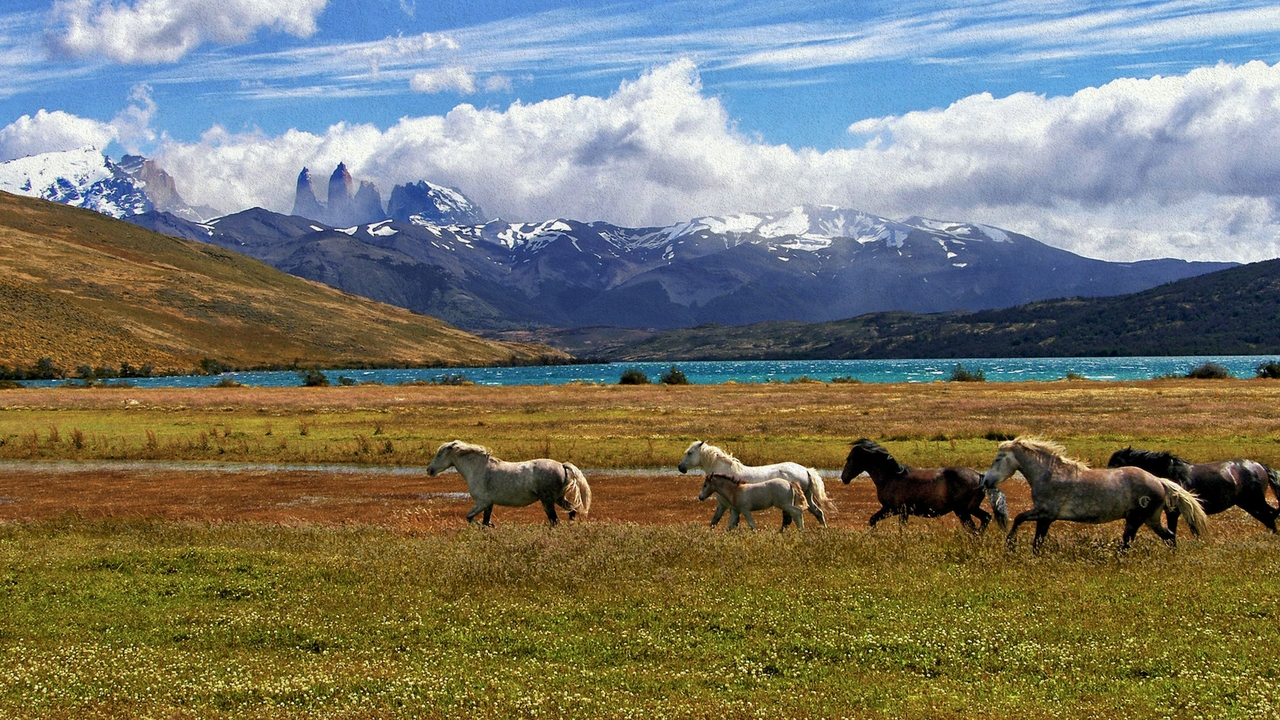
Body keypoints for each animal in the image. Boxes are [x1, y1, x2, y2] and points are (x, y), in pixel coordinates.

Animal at [426, 440, 592, 527]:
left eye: (439, 454)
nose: (429, 470)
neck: (479, 469)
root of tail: (562, 465)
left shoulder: (482, 502)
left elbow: (470, 518)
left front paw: (492, 526)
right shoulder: (488, 504)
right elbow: (484, 521)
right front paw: (490, 527)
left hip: (547, 500)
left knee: (555, 520)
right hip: (558, 498)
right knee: (572, 510)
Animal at [678, 440, 834, 527]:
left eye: (690, 453)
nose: (680, 467)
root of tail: (806, 470)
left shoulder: (725, 504)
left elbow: (723, 521)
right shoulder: (725, 505)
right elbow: (716, 521)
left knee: (791, 518)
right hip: (806, 498)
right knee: (818, 512)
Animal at [841, 438, 1008, 534]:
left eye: (850, 459)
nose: (844, 478)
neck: (891, 476)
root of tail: (980, 477)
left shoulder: (896, 510)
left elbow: (897, 528)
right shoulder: (893, 510)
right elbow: (873, 520)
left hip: (963, 512)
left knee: (974, 528)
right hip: (971, 509)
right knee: (986, 518)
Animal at [980, 436, 1208, 550]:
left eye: (999, 458)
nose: (986, 481)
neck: (1050, 474)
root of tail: (1159, 481)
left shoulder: (1046, 514)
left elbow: (1021, 520)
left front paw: (1010, 545)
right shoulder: (1045, 517)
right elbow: (1036, 538)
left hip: (1136, 519)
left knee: (1128, 542)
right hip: (1151, 518)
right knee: (1169, 536)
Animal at [1107, 447, 1280, 536]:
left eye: (1116, 463)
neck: (1169, 473)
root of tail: (1260, 466)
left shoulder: (1173, 511)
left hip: (1253, 502)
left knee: (1270, 515)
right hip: (1249, 503)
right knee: (1270, 516)